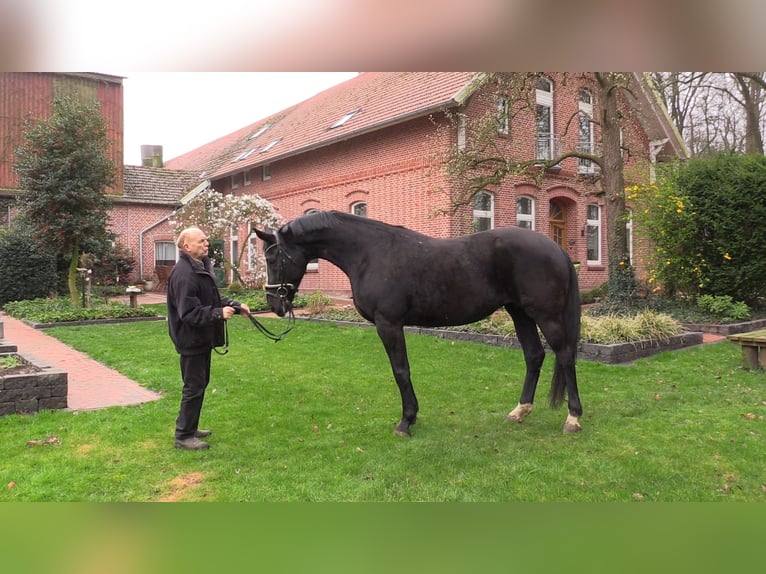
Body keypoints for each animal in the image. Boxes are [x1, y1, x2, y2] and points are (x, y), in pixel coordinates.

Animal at [255, 210, 584, 436]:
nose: (274, 304)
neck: (369, 253)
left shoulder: (388, 324)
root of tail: (556, 248)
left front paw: (406, 421)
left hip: (545, 315)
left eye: (272, 259)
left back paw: (573, 418)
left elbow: (401, 371)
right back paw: (520, 411)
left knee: (565, 355)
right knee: (534, 355)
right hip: (519, 313)